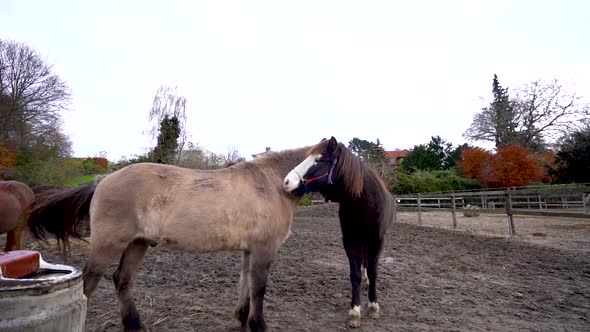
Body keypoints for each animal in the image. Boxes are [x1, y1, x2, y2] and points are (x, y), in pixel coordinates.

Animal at [28, 148, 310, 332]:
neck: (270, 183)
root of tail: (103, 180)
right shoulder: (264, 250)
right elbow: (259, 289)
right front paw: (257, 325)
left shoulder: (250, 250)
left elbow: (246, 285)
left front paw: (242, 319)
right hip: (108, 246)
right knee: (88, 283)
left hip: (137, 244)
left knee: (122, 280)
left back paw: (135, 325)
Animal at [284, 136, 398, 328]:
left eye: (319, 160)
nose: (286, 182)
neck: (363, 202)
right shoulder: (350, 241)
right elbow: (355, 275)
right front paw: (355, 312)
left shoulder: (377, 241)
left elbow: (373, 272)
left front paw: (373, 306)